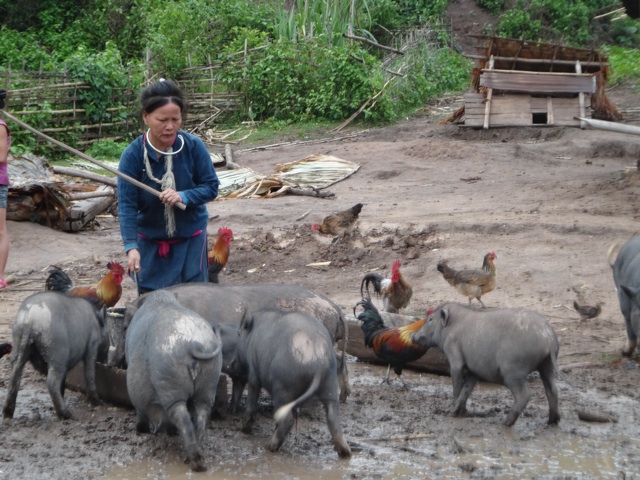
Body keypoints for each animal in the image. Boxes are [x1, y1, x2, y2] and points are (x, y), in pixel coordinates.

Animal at [1, 288, 109, 420]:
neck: (97, 321)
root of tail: (30, 317)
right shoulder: (92, 346)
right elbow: (90, 373)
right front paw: (97, 402)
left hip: (18, 345)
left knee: (14, 377)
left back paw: (7, 413)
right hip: (56, 354)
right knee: (51, 382)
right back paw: (66, 415)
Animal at [124, 288, 222, 472]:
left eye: (124, 326)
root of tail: (193, 344)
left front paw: (140, 430)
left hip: (170, 384)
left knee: (182, 417)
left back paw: (195, 462)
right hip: (209, 381)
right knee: (201, 413)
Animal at [235, 308, 352, 458]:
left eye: (239, 333)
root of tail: (317, 361)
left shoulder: (253, 373)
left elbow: (252, 396)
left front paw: (242, 428)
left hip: (283, 387)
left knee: (288, 418)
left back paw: (269, 446)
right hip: (330, 384)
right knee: (332, 416)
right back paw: (345, 452)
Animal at [412, 304, 556, 428]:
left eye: (430, 319)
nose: (413, 336)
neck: (450, 327)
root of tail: (548, 336)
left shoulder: (454, 355)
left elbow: (457, 385)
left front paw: (451, 413)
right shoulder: (474, 369)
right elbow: (467, 388)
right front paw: (461, 413)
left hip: (513, 371)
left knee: (524, 395)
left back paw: (505, 423)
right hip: (547, 365)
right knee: (553, 390)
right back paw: (552, 422)